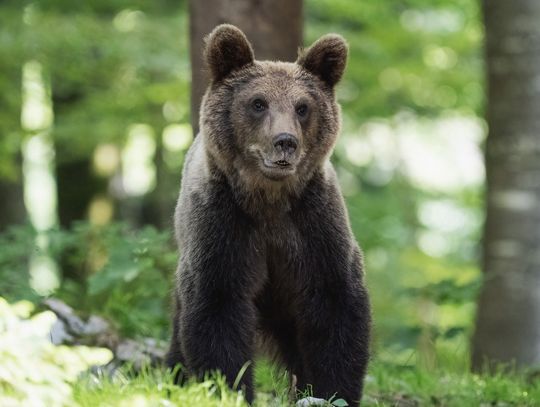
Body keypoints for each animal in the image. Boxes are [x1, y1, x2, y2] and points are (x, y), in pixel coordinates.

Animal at [168, 24, 372, 404]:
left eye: (302, 106)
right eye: (258, 103)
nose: (285, 141)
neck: (269, 201)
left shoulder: (314, 226)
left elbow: (336, 304)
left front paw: (334, 390)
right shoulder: (223, 226)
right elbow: (217, 307)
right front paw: (229, 387)